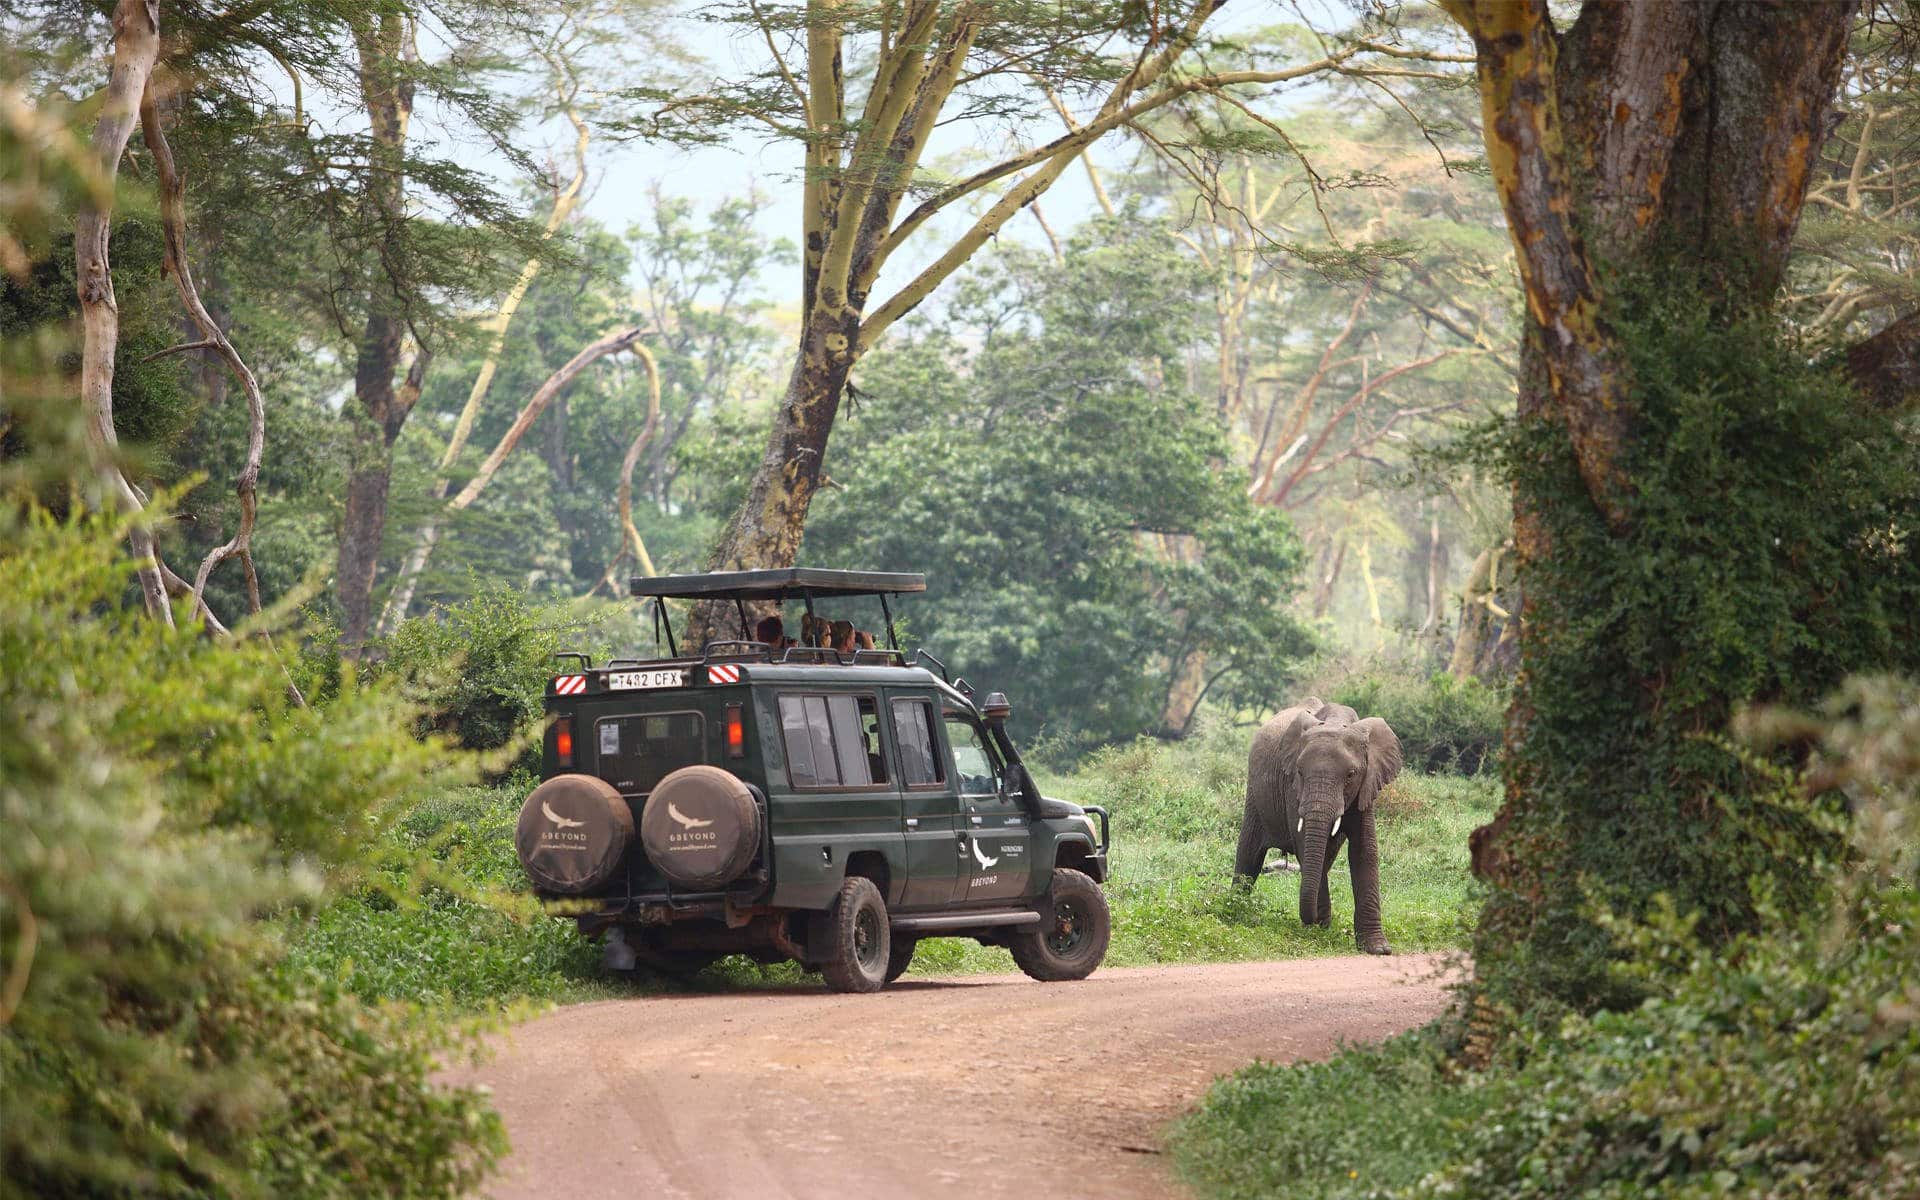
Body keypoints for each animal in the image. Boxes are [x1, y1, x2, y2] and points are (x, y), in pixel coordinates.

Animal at [1234, 698, 1403, 955]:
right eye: (1300, 772)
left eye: (1351, 775)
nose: (1310, 920)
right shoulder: (1292, 788)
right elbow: (1305, 845)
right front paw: (1317, 930)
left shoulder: (1367, 786)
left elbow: (1364, 851)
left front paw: (1378, 949)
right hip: (1255, 793)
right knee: (1249, 855)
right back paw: (1233, 907)